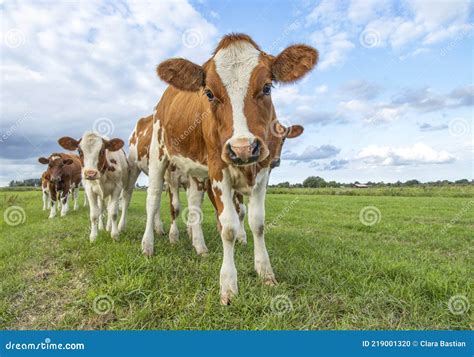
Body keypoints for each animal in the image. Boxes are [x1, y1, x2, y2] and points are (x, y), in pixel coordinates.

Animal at [144, 33, 316, 302]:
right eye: (209, 93)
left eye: (267, 87)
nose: (243, 148)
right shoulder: (218, 168)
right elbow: (228, 227)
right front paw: (228, 285)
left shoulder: (263, 170)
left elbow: (257, 221)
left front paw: (265, 272)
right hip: (158, 155)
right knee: (153, 200)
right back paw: (149, 245)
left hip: (196, 172)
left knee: (194, 205)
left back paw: (199, 246)